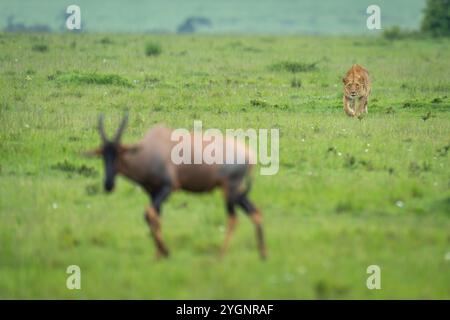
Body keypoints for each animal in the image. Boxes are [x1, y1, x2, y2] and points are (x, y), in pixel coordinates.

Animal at [88, 115, 268, 260]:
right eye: (102, 154)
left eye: (119, 152)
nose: (108, 185)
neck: (151, 149)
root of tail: (250, 156)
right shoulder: (153, 192)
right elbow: (155, 216)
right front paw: (158, 255)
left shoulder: (168, 187)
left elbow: (150, 213)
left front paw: (166, 252)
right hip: (238, 192)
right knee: (256, 213)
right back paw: (262, 255)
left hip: (230, 190)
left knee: (233, 218)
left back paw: (220, 257)